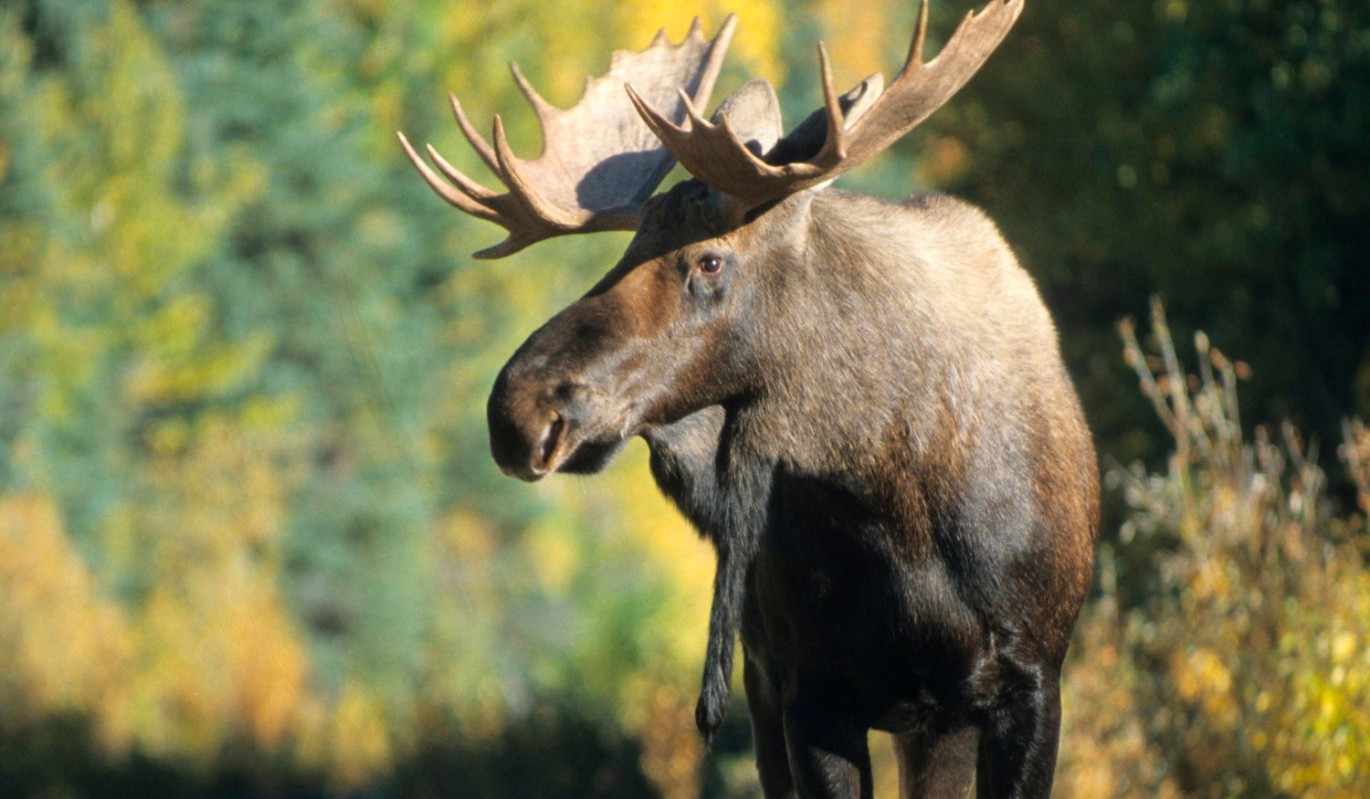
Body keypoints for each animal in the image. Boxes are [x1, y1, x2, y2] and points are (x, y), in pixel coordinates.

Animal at [400, 3, 1101, 794]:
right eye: (624, 251)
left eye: (710, 261)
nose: (516, 410)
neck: (902, 506)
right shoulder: (810, 688)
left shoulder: (1032, 676)